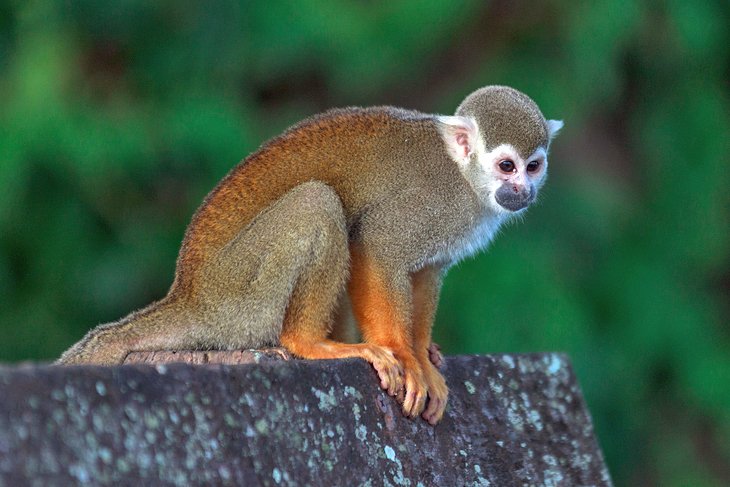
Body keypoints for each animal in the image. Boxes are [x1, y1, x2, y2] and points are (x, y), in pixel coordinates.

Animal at [59, 86, 564, 426]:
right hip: (239, 296)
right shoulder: (433, 203)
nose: (522, 190)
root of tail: (188, 294)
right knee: (316, 203)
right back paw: (310, 343)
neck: (466, 179)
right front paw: (406, 356)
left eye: (533, 166)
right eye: (506, 166)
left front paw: (423, 355)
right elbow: (376, 245)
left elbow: (426, 272)